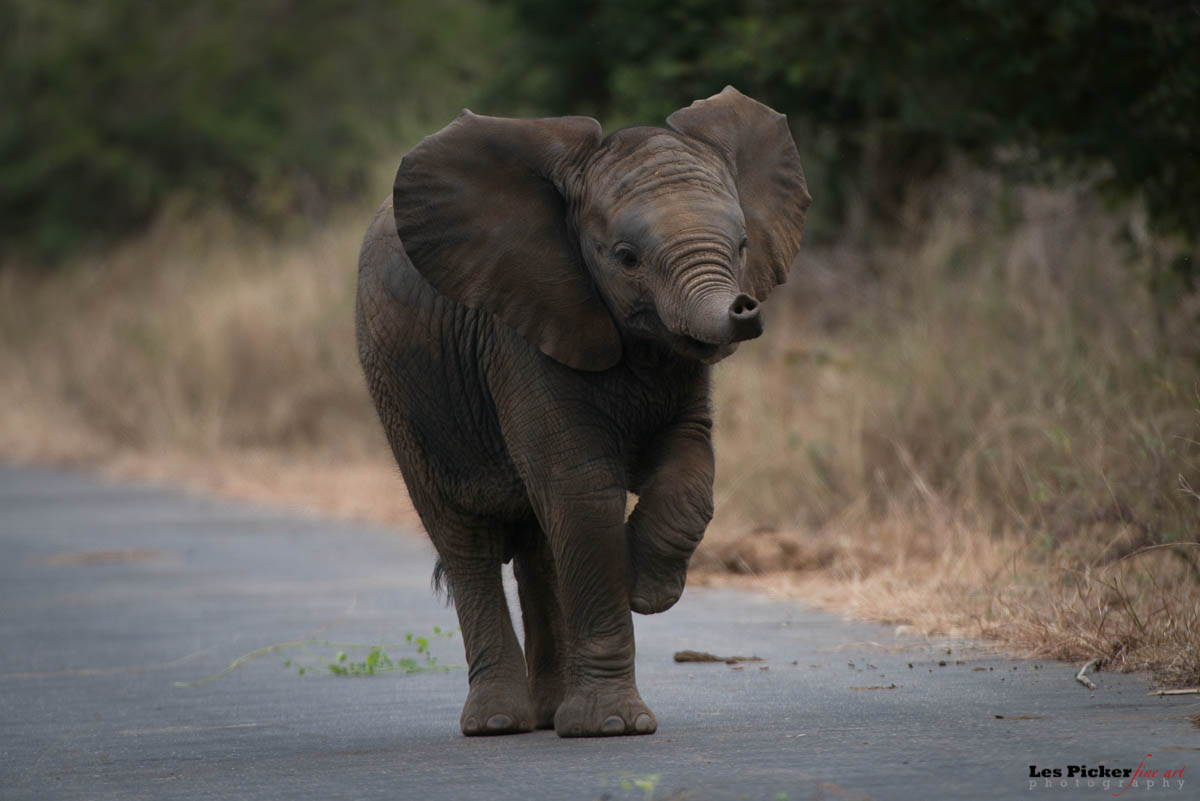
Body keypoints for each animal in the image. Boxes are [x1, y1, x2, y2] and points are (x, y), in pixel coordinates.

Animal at [352, 87, 806, 738]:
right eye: (626, 258)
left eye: (743, 246)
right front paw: (613, 726)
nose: (745, 309)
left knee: (539, 547)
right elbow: (583, 492)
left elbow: (692, 465)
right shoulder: (523, 329)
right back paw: (498, 723)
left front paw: (646, 586)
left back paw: (547, 715)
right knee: (466, 540)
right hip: (398, 391)